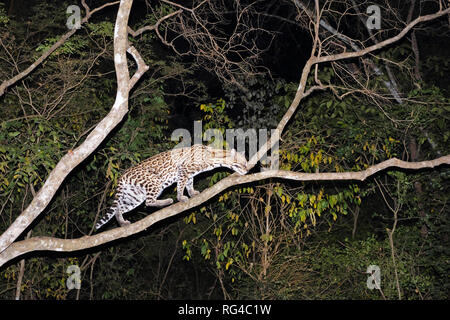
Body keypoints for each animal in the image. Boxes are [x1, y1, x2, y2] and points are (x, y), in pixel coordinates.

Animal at [95, 145, 248, 230]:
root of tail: (123, 174)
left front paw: (193, 193)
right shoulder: (184, 169)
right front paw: (181, 197)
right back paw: (168, 201)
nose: (247, 170)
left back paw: (122, 222)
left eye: (246, 163)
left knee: (119, 208)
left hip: (134, 195)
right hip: (155, 182)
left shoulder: (189, 174)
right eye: (242, 163)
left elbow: (189, 184)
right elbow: (181, 185)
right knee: (149, 202)